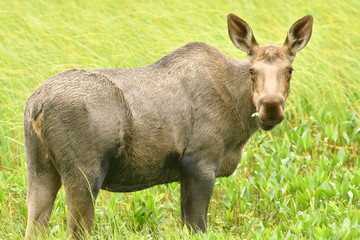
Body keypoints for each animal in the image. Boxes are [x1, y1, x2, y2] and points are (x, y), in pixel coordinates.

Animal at [24, 13, 312, 240]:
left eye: (290, 70)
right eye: (252, 70)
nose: (271, 107)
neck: (239, 115)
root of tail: (36, 106)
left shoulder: (186, 172)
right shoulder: (200, 162)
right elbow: (198, 227)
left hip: (39, 169)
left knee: (34, 226)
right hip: (85, 172)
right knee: (76, 230)